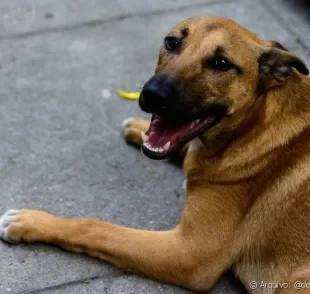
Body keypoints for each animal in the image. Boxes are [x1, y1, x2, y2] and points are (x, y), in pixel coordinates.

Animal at [0, 16, 310, 294]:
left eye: (221, 63)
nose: (152, 95)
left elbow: (95, 227)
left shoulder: (191, 253)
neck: (252, 125)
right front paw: (140, 130)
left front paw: (29, 222)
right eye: (172, 42)